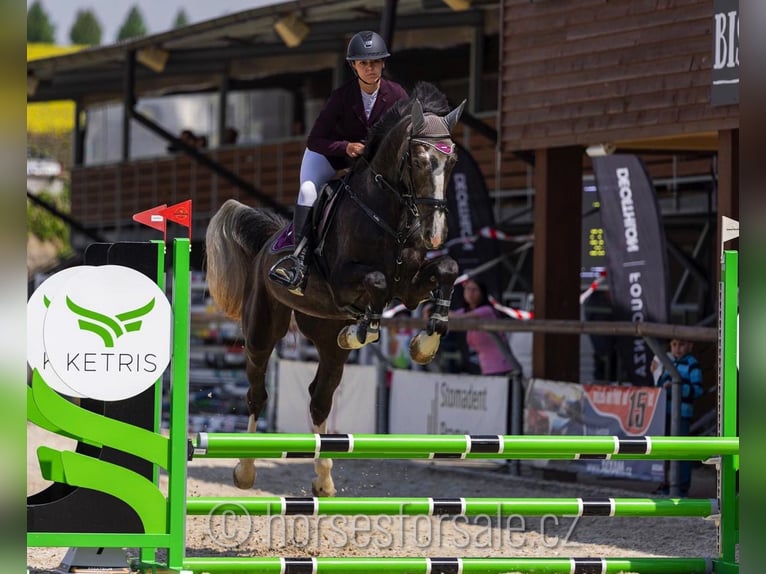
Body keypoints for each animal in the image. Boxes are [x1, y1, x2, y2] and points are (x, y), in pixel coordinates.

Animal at [204, 83, 464, 498]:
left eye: (451, 160)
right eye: (418, 159)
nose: (434, 233)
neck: (387, 213)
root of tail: (268, 243)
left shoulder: (408, 287)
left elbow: (447, 268)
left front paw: (425, 342)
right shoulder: (344, 280)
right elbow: (375, 283)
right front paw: (366, 328)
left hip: (323, 334)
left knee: (319, 398)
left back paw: (324, 478)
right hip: (262, 328)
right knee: (257, 393)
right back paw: (245, 470)